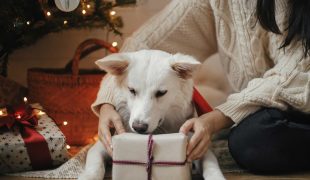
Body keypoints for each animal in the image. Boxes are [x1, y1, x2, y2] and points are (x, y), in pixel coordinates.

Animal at [79, 49, 225, 180]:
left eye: (161, 93)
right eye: (132, 90)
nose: (138, 127)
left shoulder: (199, 146)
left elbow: (211, 167)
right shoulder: (102, 145)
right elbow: (95, 166)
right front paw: (88, 176)